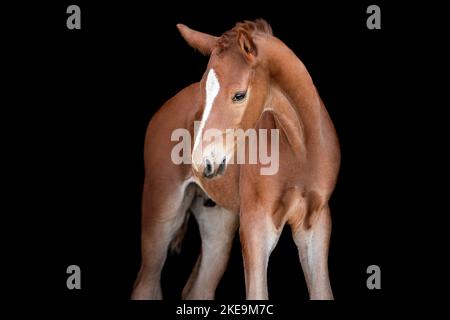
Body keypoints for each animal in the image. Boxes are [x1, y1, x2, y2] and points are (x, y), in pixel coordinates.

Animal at [132, 20, 340, 300]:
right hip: (162, 210)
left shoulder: (316, 222)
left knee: (198, 289)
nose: (201, 163)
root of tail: (164, 109)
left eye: (239, 95)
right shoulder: (256, 225)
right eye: (203, 92)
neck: (301, 150)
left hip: (217, 222)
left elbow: (322, 292)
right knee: (145, 284)